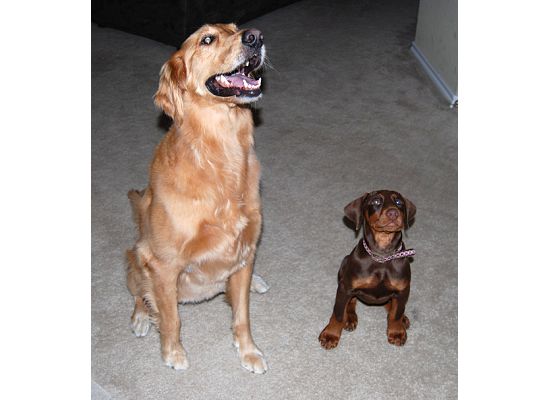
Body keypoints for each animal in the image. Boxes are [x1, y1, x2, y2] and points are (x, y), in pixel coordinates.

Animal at [125, 23, 272, 374]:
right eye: (207, 39)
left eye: (236, 28)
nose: (256, 36)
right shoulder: (162, 264)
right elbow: (171, 318)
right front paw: (173, 352)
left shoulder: (244, 249)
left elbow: (242, 315)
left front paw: (248, 351)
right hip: (134, 255)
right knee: (138, 292)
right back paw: (140, 317)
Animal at [320, 189, 418, 348]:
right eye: (376, 201)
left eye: (399, 202)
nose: (393, 212)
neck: (382, 256)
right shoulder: (346, 287)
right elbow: (338, 313)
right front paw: (331, 334)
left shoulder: (403, 289)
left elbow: (396, 313)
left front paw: (396, 331)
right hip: (344, 265)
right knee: (351, 301)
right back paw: (350, 317)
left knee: (393, 305)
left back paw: (402, 318)